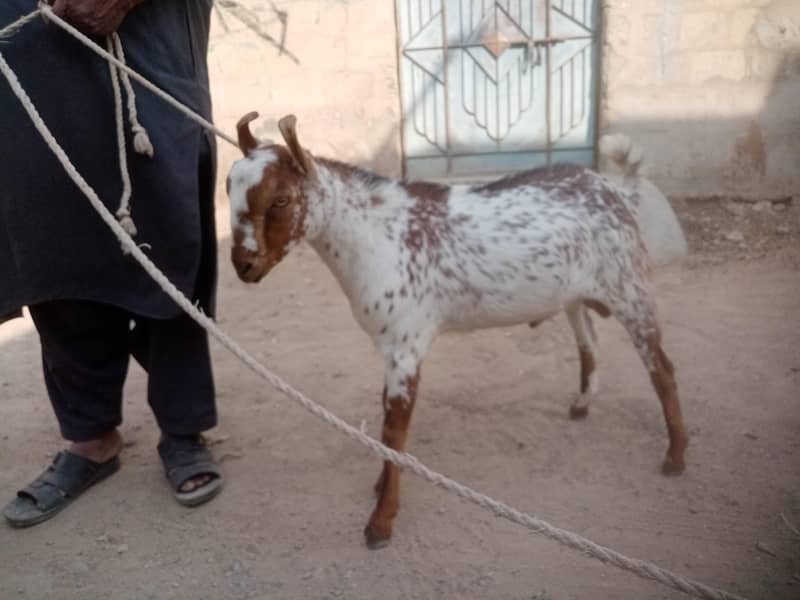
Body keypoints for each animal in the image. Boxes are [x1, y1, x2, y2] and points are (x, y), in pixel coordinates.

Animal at [226, 112, 689, 548]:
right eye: (228, 192)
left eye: (281, 199)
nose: (243, 265)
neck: (377, 234)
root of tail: (616, 189)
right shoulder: (392, 349)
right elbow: (387, 423)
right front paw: (380, 487)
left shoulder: (406, 345)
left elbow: (394, 430)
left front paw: (381, 521)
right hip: (576, 294)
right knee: (588, 340)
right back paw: (582, 404)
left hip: (628, 286)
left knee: (662, 368)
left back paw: (676, 456)